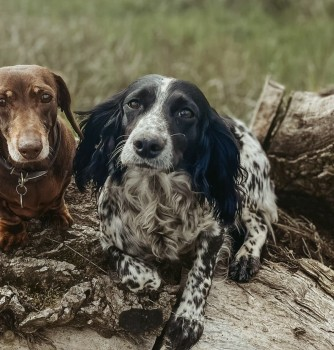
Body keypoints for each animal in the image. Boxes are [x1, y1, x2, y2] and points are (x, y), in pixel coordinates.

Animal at [0, 65, 83, 252]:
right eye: (1, 101)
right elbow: (7, 215)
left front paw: (58, 215)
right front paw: (13, 234)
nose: (30, 149)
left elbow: (58, 198)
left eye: (46, 97)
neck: (28, 173)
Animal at [73, 75, 276, 348]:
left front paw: (188, 320)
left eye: (185, 112)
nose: (147, 144)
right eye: (134, 103)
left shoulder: (214, 230)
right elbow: (131, 269)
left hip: (244, 190)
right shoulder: (107, 235)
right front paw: (150, 277)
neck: (157, 194)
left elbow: (201, 275)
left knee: (259, 222)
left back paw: (246, 257)